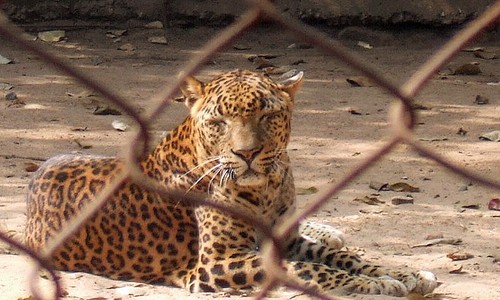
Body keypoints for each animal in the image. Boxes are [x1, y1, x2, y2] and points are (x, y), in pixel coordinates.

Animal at [24, 69, 438, 296]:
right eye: (219, 121)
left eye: (268, 115)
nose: (247, 153)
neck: (268, 187)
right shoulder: (216, 262)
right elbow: (309, 269)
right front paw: (375, 285)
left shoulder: (284, 238)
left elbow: (346, 258)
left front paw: (404, 273)